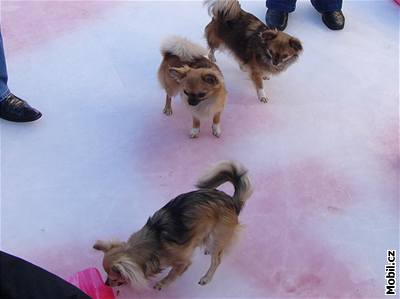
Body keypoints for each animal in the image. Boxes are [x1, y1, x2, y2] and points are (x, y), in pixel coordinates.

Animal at [93, 162, 253, 290]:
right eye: (107, 276)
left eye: (114, 278)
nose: (106, 284)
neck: (153, 244)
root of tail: (232, 201)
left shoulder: (182, 262)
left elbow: (172, 274)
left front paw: (161, 284)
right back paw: (207, 247)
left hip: (219, 234)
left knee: (216, 260)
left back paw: (206, 277)